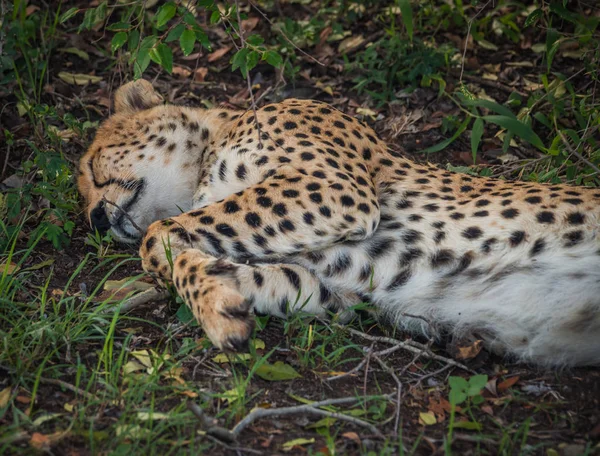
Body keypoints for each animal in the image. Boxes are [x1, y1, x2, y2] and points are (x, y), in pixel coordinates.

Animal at [78, 80, 600, 366]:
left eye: (91, 168)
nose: (96, 218)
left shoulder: (332, 189)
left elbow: (157, 237)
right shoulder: (332, 290)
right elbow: (203, 261)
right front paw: (217, 306)